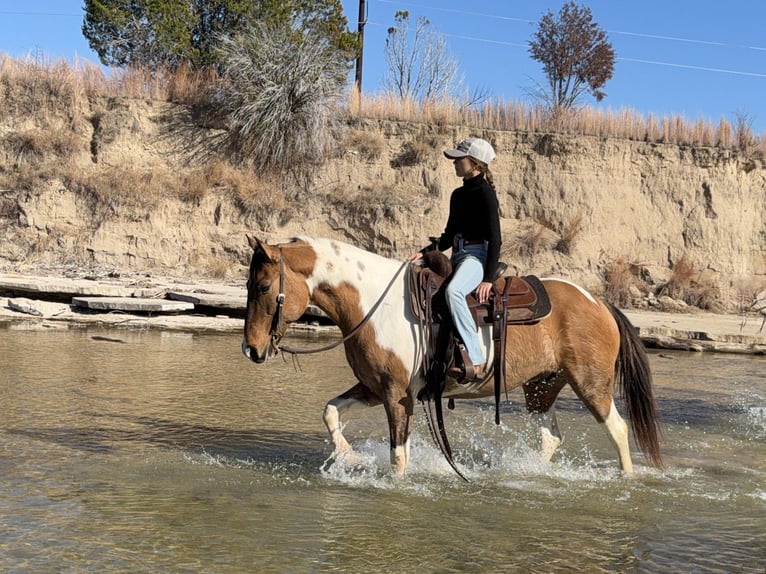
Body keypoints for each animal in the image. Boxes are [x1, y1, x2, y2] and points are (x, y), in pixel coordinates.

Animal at [241, 235, 663, 476]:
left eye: (262, 286)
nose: (251, 349)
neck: (375, 303)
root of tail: (599, 302)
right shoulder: (375, 388)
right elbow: (330, 412)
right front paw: (351, 458)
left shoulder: (398, 396)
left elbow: (399, 459)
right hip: (541, 387)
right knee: (550, 438)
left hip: (591, 383)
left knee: (617, 428)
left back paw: (627, 481)